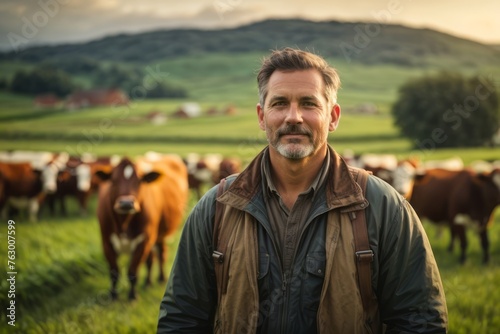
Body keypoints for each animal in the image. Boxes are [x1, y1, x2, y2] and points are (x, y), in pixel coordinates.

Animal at [95, 156, 188, 300]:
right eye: (113, 180)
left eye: (140, 181)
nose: (126, 203)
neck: (124, 222)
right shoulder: (106, 241)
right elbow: (114, 271)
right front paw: (113, 295)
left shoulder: (144, 241)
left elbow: (133, 271)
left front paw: (132, 296)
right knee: (152, 258)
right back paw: (149, 282)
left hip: (159, 234)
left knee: (160, 255)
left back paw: (159, 279)